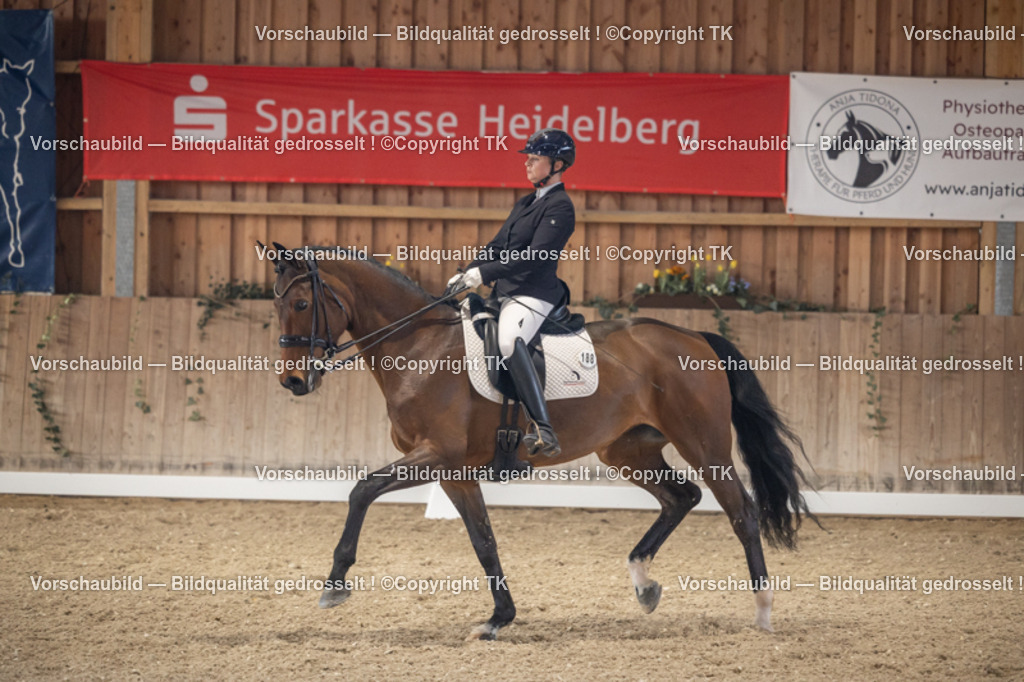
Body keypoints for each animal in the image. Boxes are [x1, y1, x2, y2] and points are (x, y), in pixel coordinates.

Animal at [267, 244, 814, 641]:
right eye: (275, 305)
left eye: (301, 303)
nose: (292, 381)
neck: (420, 347)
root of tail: (694, 337)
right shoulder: (454, 471)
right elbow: (483, 540)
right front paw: (498, 618)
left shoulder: (436, 455)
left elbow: (362, 489)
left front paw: (335, 584)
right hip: (628, 449)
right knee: (682, 497)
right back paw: (644, 584)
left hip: (705, 447)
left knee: (741, 511)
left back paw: (763, 611)